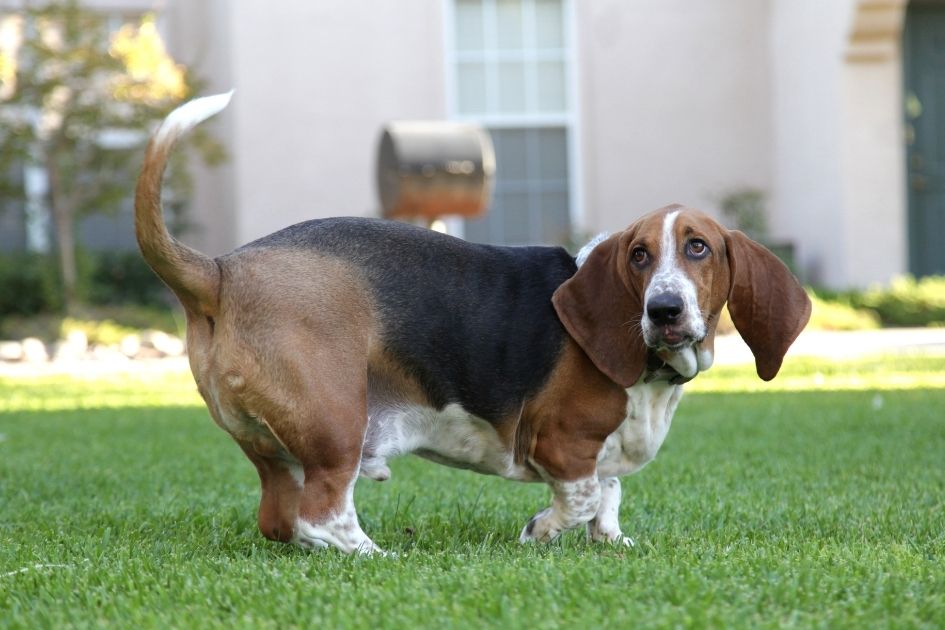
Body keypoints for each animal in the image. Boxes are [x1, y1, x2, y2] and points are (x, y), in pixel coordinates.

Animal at [135, 91, 812, 556]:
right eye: (640, 255)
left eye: (699, 248)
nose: (664, 309)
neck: (651, 374)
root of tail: (223, 270)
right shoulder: (560, 442)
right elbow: (586, 492)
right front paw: (542, 531)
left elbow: (610, 492)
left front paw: (611, 541)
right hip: (336, 425)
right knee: (320, 515)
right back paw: (378, 556)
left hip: (278, 450)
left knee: (281, 521)